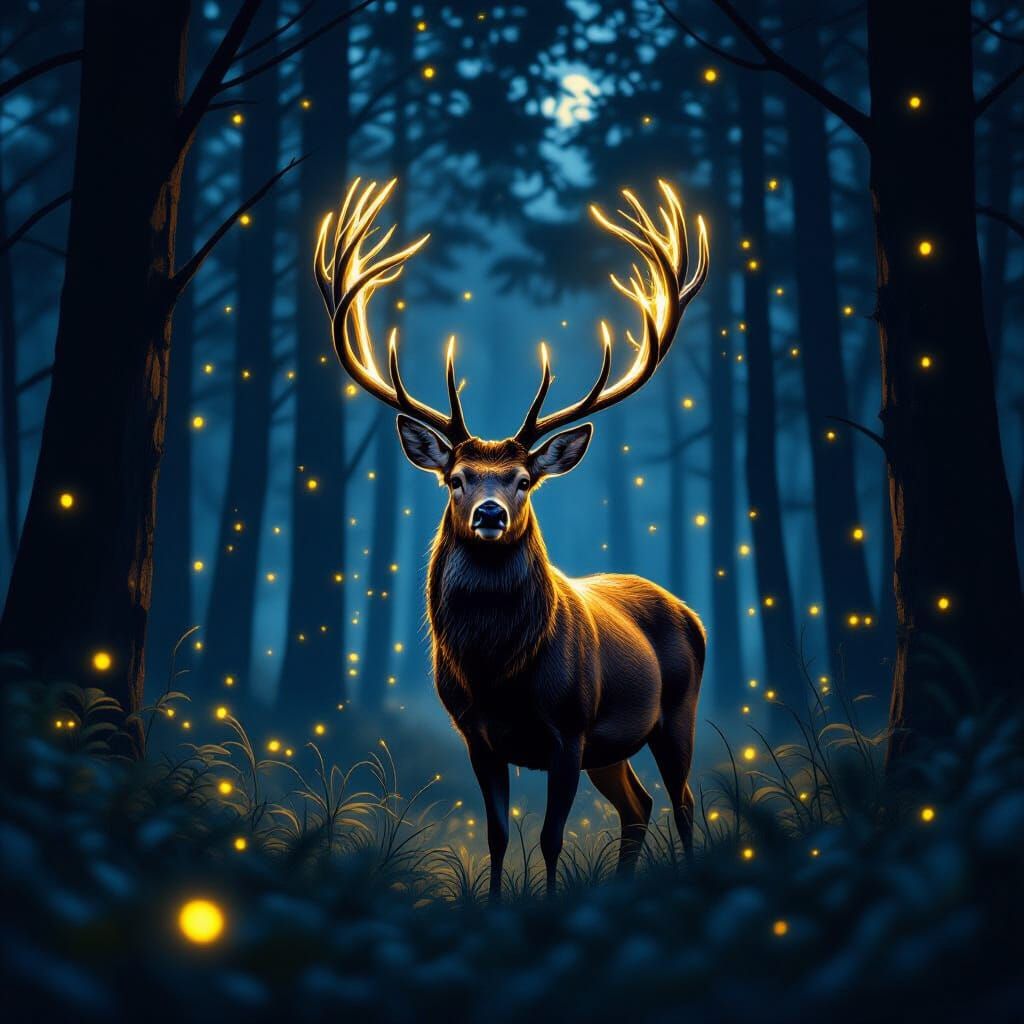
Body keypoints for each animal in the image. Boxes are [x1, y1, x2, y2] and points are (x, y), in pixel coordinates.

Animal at [314, 178, 709, 898]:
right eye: (456, 478)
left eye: (525, 479)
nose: (491, 514)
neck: (499, 671)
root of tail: (688, 611)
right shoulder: (477, 735)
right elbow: (498, 836)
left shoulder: (569, 729)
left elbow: (551, 838)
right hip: (612, 748)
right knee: (638, 804)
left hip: (675, 713)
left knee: (684, 799)